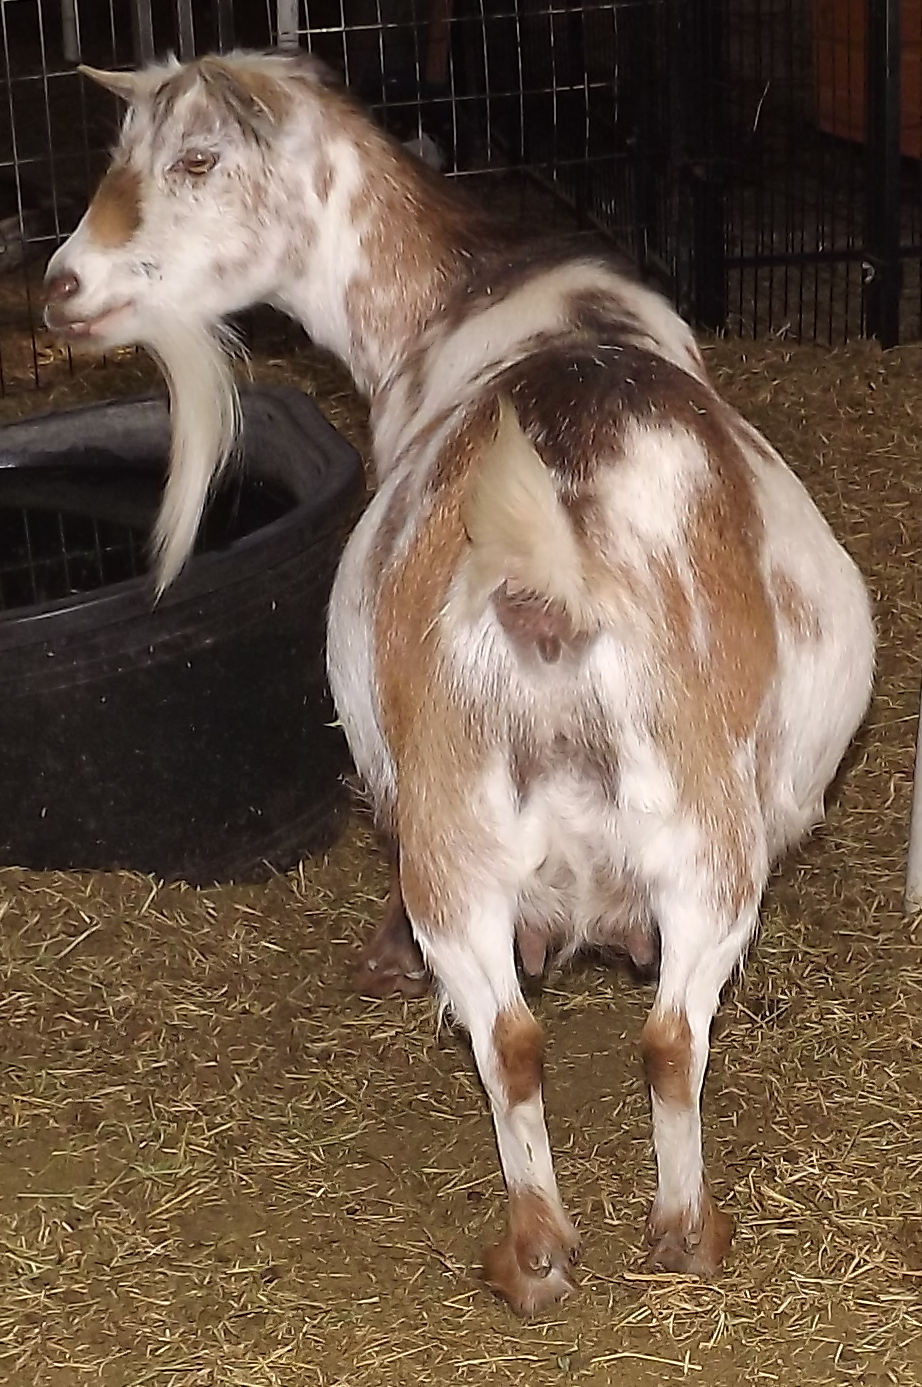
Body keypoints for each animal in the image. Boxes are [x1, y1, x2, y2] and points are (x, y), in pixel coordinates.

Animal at [44, 51, 875, 1316]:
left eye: (195, 159)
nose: (60, 287)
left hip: (476, 838)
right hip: (679, 846)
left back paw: (540, 1252)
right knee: (643, 1037)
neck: (464, 297)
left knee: (523, 1037)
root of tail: (554, 584)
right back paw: (652, 1237)